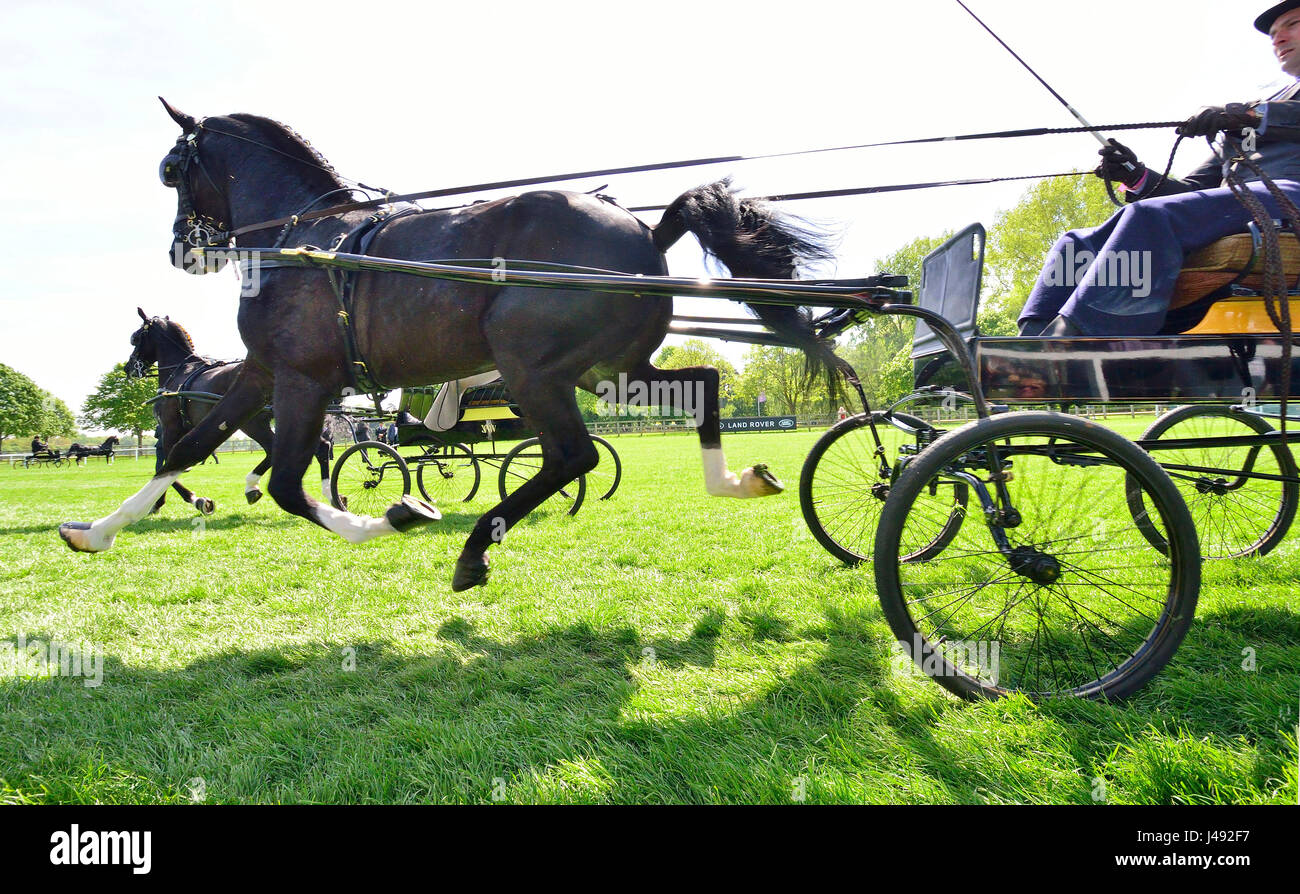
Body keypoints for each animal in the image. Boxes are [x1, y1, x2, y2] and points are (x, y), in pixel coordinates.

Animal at [124, 310, 332, 514]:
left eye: (135, 337)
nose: (128, 368)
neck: (180, 372)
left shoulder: (170, 428)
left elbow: (168, 463)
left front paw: (195, 500)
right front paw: (160, 501)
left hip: (252, 423)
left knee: (273, 448)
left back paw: (252, 486)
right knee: (319, 447)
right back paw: (329, 493)